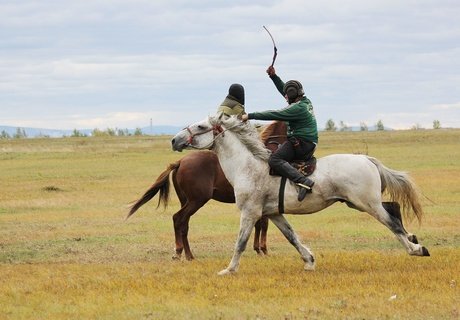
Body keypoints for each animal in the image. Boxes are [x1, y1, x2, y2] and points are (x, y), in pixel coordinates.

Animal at [126, 120, 284, 260]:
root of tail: (180, 162)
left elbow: (259, 224)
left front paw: (259, 249)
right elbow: (263, 224)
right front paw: (262, 250)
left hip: (186, 201)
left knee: (183, 223)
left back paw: (181, 252)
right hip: (197, 201)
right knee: (179, 219)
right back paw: (186, 254)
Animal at [171, 115, 430, 276]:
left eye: (200, 127)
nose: (174, 140)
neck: (248, 165)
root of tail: (366, 158)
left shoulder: (250, 212)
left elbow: (241, 242)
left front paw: (229, 269)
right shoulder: (273, 214)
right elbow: (292, 237)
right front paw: (309, 261)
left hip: (368, 204)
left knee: (392, 222)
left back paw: (416, 249)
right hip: (358, 203)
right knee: (394, 207)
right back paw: (414, 240)